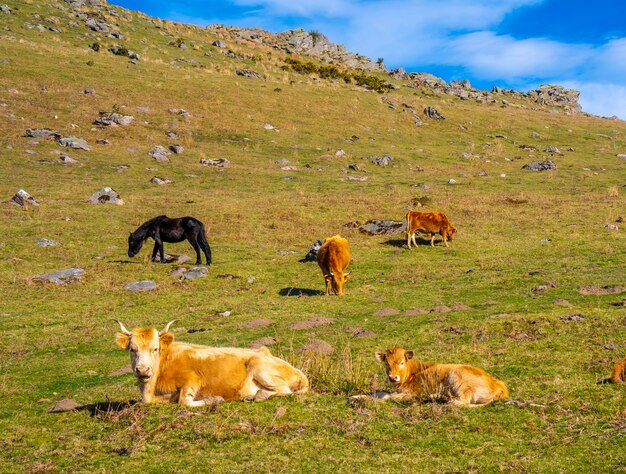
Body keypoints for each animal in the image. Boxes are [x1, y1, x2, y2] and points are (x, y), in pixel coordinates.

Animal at [113, 320, 308, 406]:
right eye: (132, 349)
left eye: (155, 349)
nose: (143, 369)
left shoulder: (192, 380)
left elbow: (184, 401)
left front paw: (214, 399)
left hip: (258, 366)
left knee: (284, 390)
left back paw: (256, 395)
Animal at [370, 346, 508, 406]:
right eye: (386, 364)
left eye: (402, 362)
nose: (393, 377)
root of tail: (499, 385)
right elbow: (380, 393)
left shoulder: (413, 392)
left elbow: (388, 397)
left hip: (457, 378)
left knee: (462, 402)